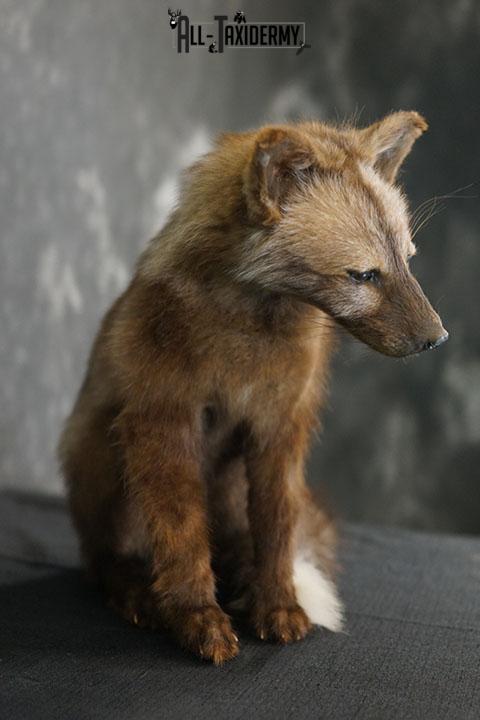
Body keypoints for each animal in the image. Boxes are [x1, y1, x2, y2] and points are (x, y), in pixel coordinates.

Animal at [59, 111, 448, 665]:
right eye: (363, 274)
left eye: (408, 260)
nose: (438, 339)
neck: (247, 345)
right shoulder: (164, 421)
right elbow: (182, 538)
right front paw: (197, 618)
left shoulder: (280, 427)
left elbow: (277, 529)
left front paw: (277, 604)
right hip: (107, 463)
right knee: (104, 561)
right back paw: (136, 591)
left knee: (244, 545)